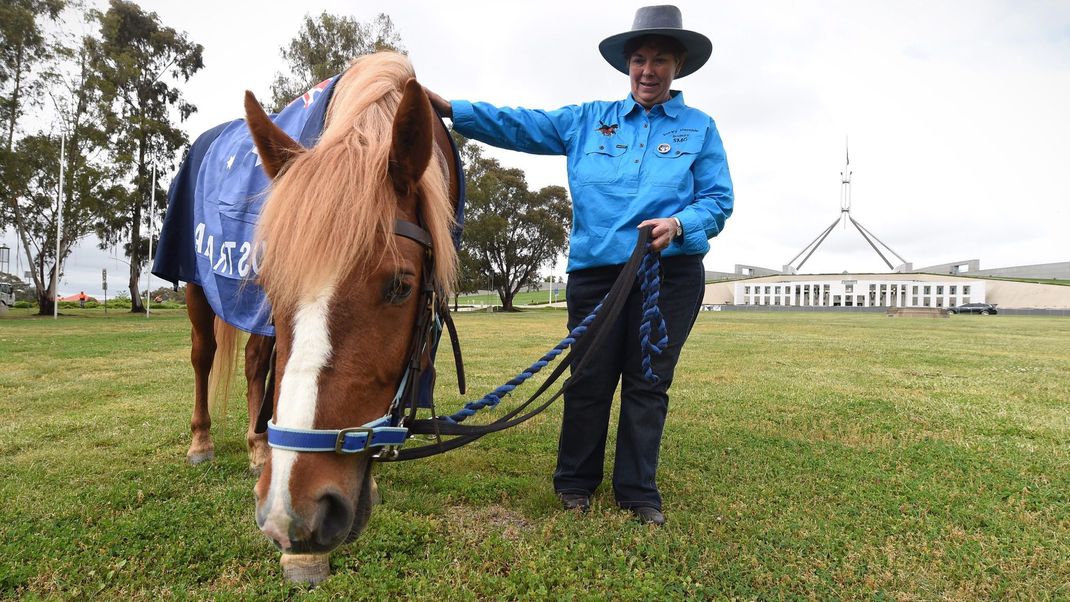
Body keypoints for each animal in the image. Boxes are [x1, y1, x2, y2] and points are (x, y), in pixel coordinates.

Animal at [171, 52, 460, 585]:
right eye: (269, 282)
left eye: (400, 286)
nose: (294, 515)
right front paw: (302, 557)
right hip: (194, 283)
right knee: (204, 355)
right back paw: (202, 442)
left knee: (255, 362)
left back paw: (257, 446)